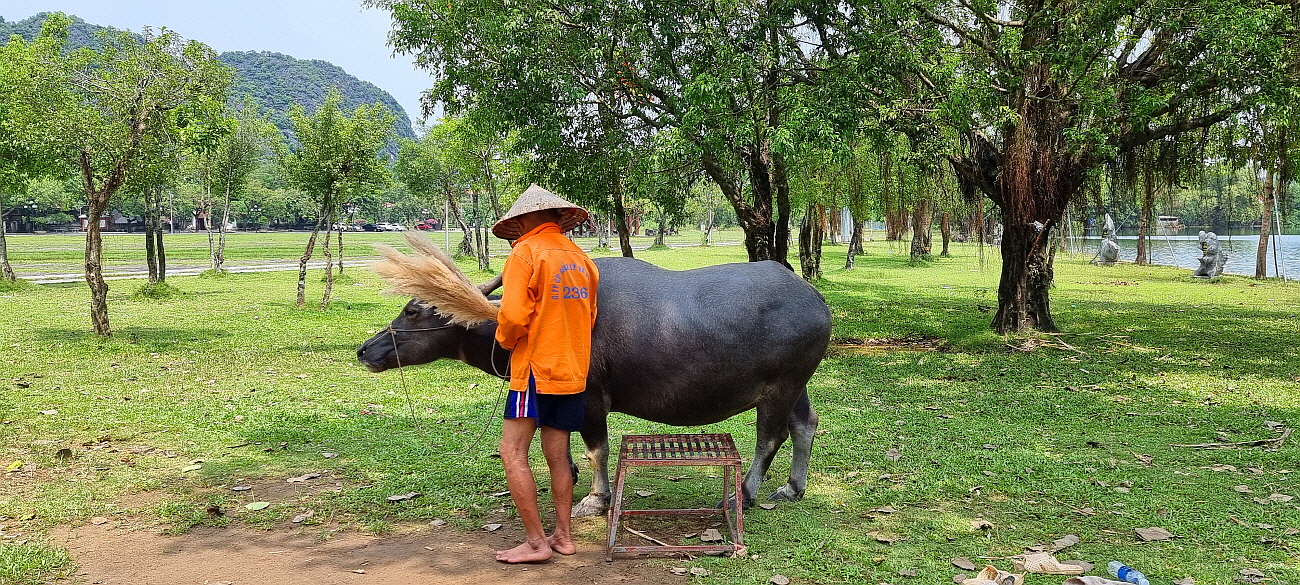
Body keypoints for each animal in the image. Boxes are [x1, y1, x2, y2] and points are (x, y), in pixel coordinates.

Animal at [356, 253, 832, 514]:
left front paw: (596, 499)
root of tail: (814, 299)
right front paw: (564, 478)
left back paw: (742, 496)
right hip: (797, 384)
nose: (365, 351)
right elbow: (555, 439)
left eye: (413, 310)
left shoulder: (590, 399)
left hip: (779, 388)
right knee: (805, 424)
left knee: (769, 438)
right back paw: (793, 488)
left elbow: (596, 449)